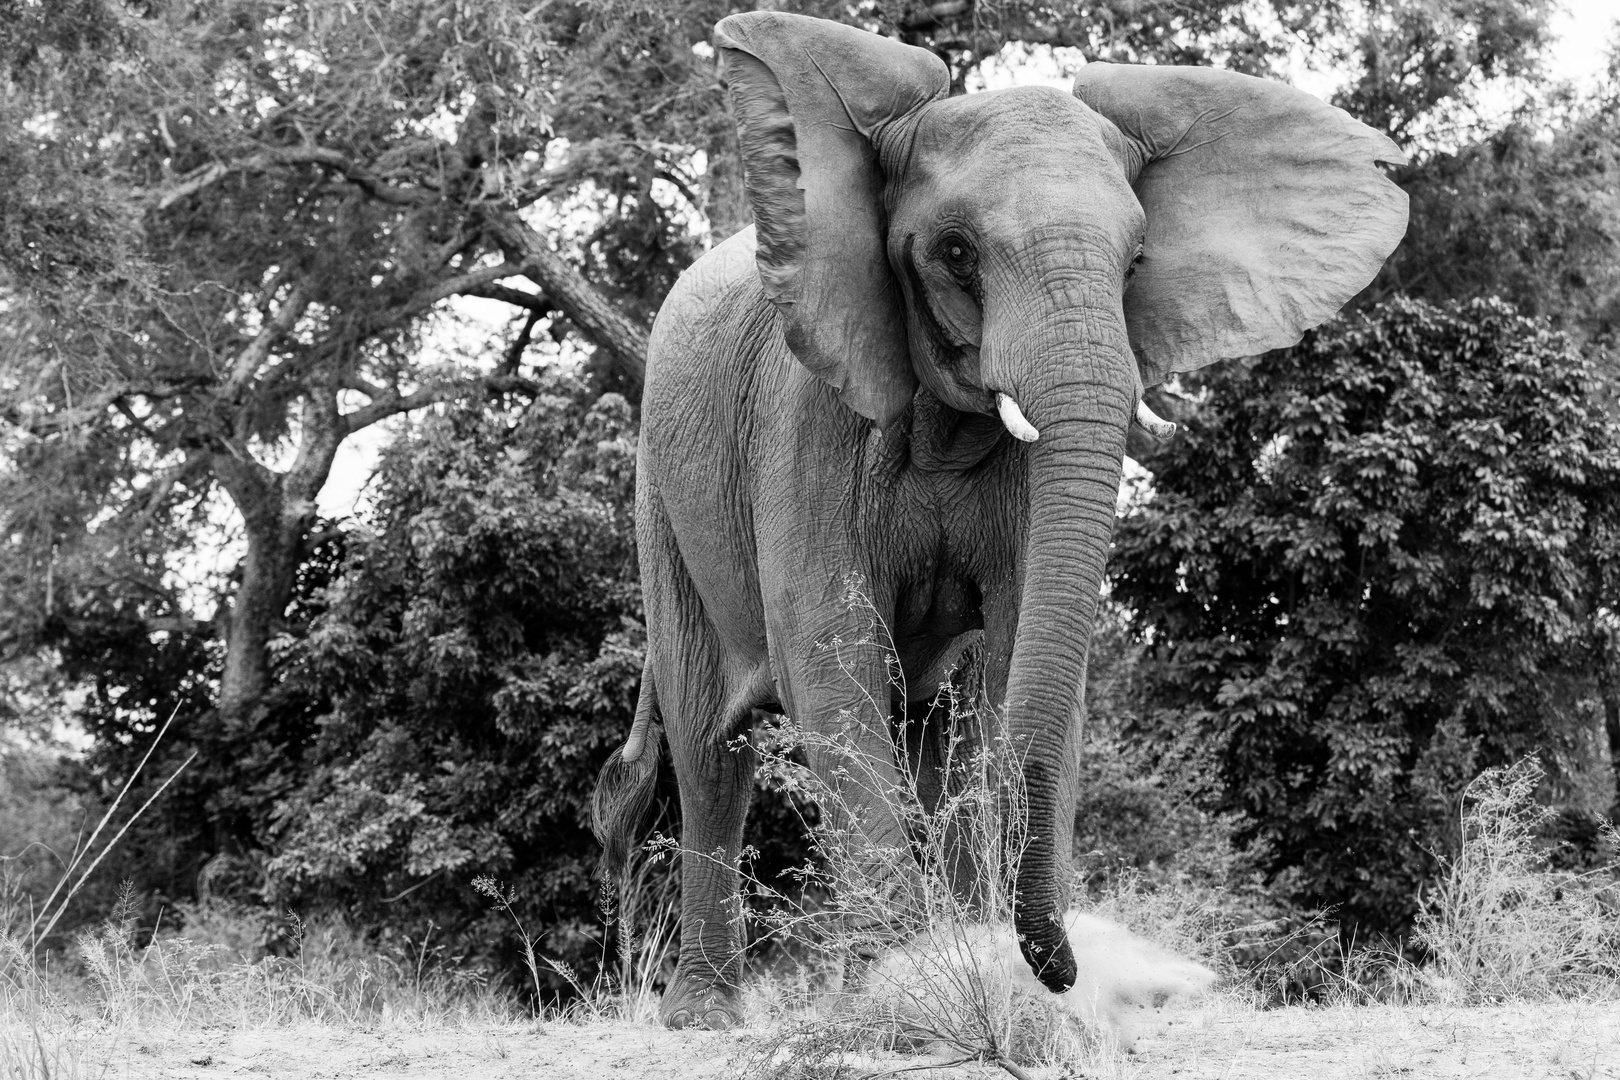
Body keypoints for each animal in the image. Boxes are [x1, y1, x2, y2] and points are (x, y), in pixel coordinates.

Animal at [596, 12, 1406, 1036]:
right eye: (955, 253)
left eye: (1136, 263)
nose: (1066, 970)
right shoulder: (803, 414)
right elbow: (829, 655)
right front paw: (906, 995)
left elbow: (1016, 651)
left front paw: (978, 979)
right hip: (661, 491)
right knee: (711, 747)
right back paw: (704, 1016)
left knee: (923, 730)